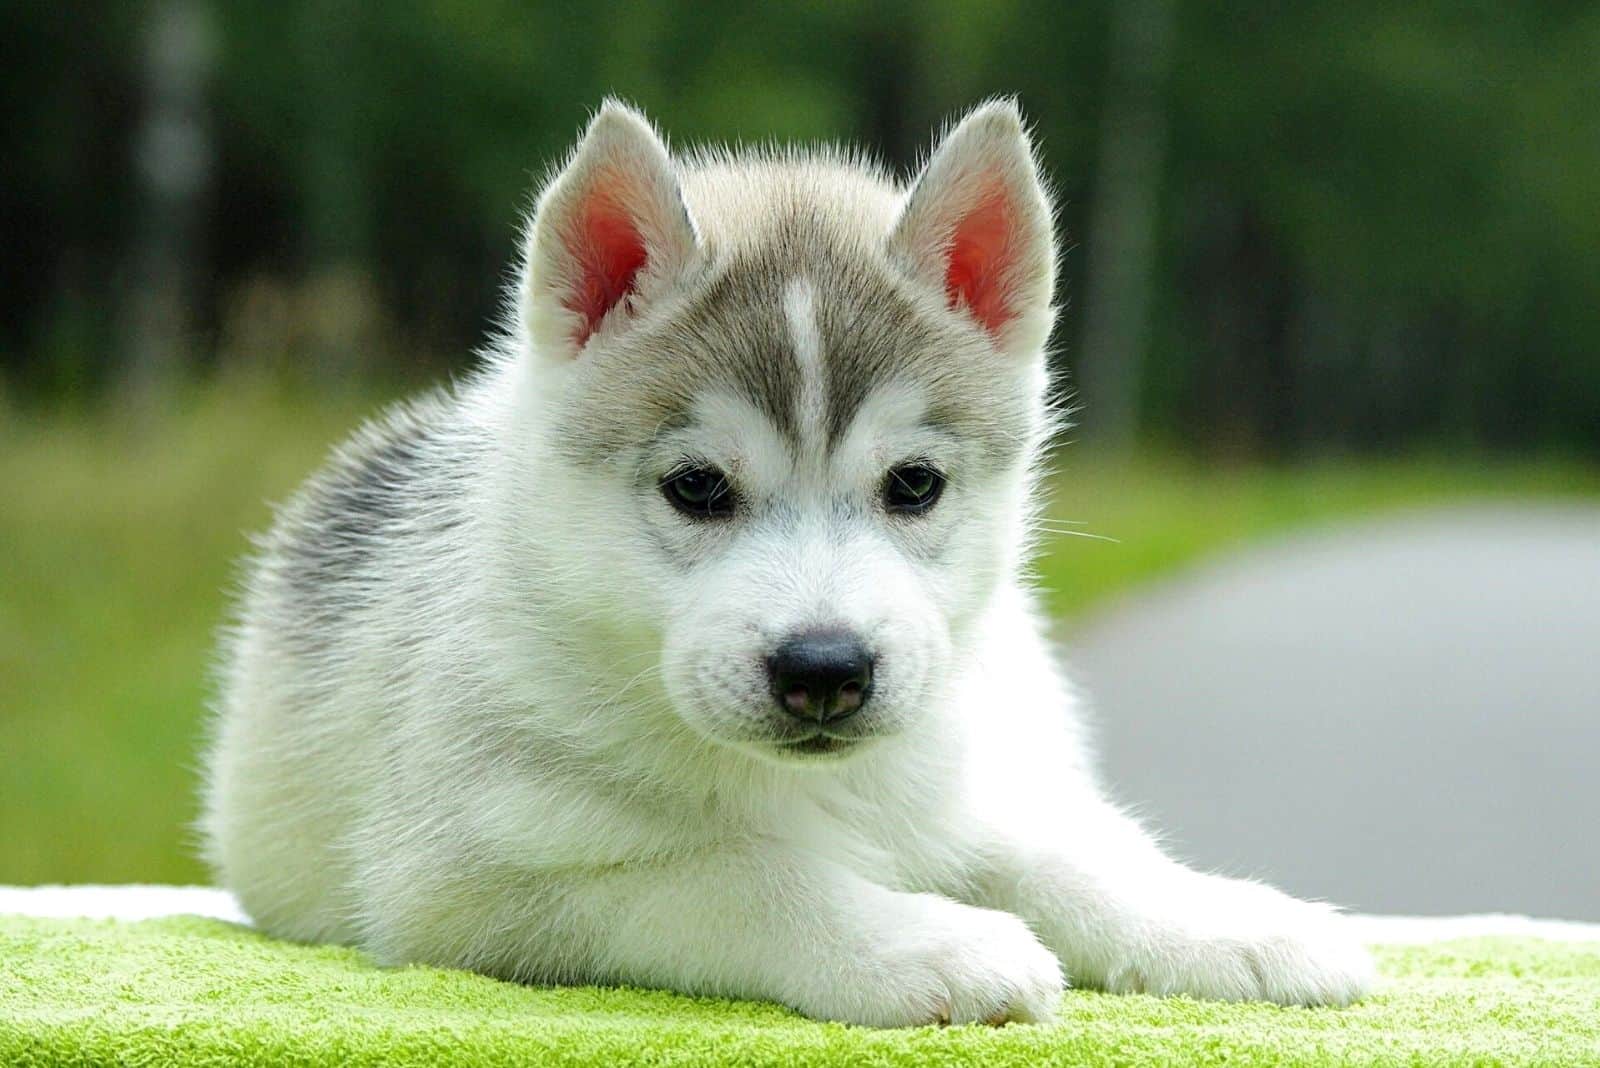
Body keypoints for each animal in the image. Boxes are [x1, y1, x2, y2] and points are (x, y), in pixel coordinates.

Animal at [203, 99, 1376, 1023]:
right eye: (696, 488)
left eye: (914, 485)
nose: (824, 669)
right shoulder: (469, 886)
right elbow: (735, 877)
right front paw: (928, 943)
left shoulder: (951, 785)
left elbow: (1054, 852)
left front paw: (1222, 921)